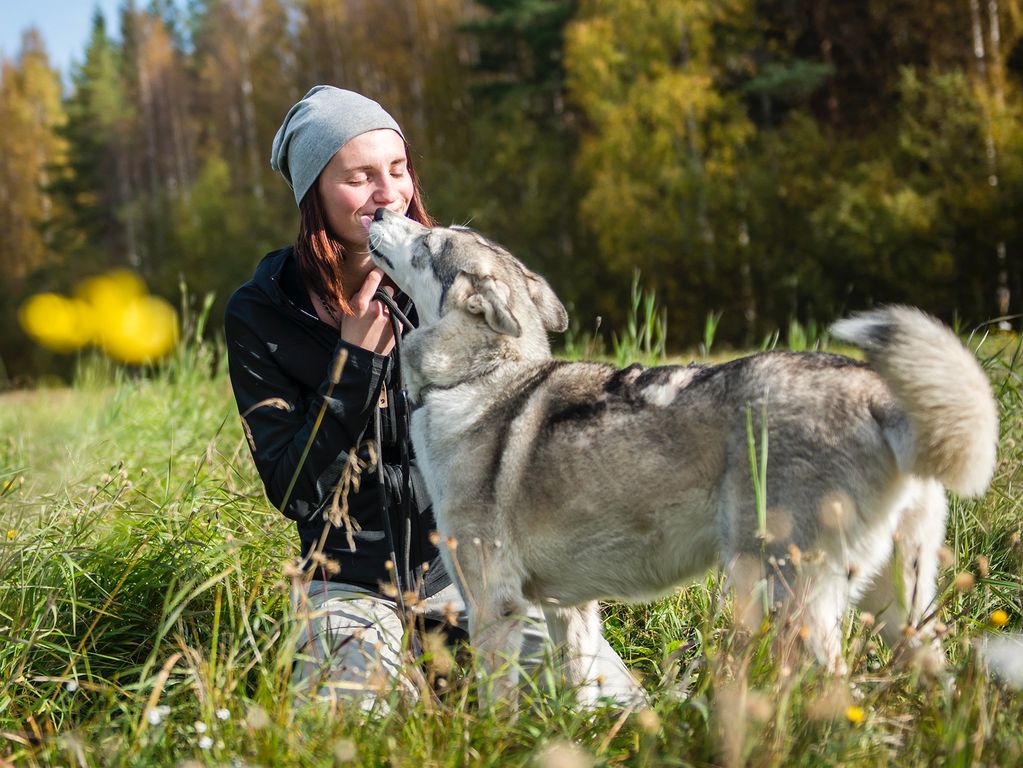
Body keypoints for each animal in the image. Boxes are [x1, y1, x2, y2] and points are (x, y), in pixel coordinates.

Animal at [368, 207, 998, 707]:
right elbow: (578, 689)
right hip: (900, 608)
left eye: (427, 242)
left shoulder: (491, 606)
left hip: (788, 598)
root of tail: (877, 394)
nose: (376, 211)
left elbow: (496, 708)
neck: (479, 380)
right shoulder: (569, 610)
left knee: (836, 689)